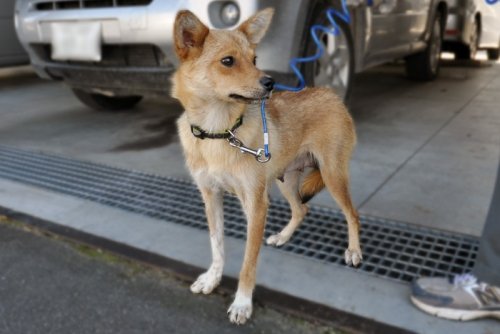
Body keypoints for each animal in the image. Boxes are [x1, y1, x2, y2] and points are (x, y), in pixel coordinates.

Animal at [172, 7, 364, 324]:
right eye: (228, 61)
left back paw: (354, 250)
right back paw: (284, 237)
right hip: (285, 179)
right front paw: (212, 278)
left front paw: (242, 303)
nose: (271, 83)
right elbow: (217, 245)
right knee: (301, 209)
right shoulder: (210, 196)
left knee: (352, 214)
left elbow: (248, 262)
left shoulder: (256, 203)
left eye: (255, 59)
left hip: (332, 174)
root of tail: (330, 93)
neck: (220, 131)